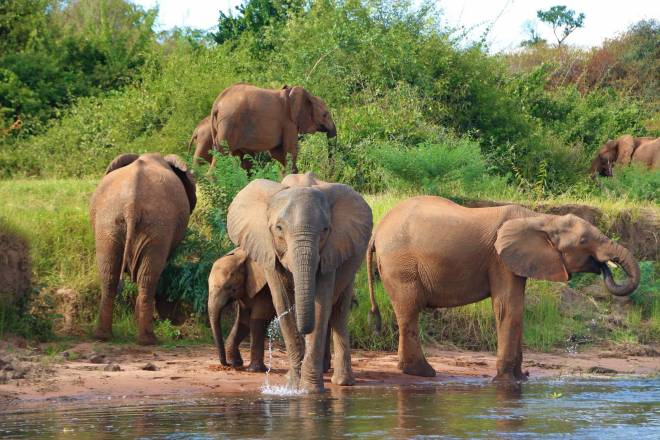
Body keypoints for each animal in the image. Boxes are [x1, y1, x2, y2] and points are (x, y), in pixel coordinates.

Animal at [90, 153, 196, 345]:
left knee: (111, 274)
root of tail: (131, 207)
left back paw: (103, 337)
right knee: (147, 277)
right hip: (152, 226)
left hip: (111, 223)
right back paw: (148, 340)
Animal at [203, 84, 337, 173]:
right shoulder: (288, 122)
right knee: (221, 157)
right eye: (325, 115)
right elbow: (291, 151)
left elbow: (279, 155)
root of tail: (217, 103)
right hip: (228, 124)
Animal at [226, 172, 372, 391]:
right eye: (279, 228)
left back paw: (342, 382)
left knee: (339, 312)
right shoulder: (268, 250)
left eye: (325, 229)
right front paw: (293, 385)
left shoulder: (330, 251)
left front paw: (310, 389)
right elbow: (282, 302)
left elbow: (321, 307)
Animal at [366, 196, 640, 381]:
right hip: (400, 263)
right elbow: (509, 308)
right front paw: (507, 381)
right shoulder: (499, 259)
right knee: (410, 310)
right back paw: (423, 373)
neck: (540, 218)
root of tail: (377, 230)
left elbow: (516, 306)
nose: (605, 267)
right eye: (584, 241)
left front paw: (522, 378)